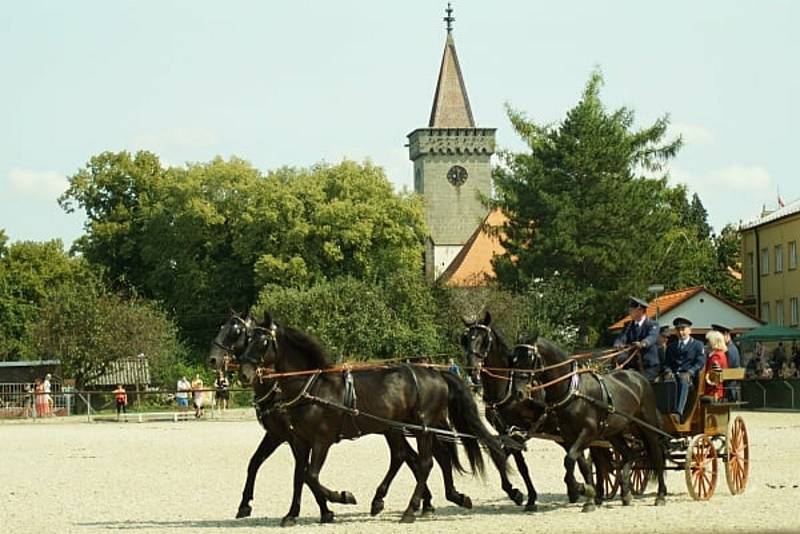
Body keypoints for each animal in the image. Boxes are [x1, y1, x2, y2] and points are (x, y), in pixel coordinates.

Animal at [238, 316, 510, 524]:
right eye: (247, 340)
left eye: (263, 342)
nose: (244, 373)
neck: (313, 386)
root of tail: (436, 372)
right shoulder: (300, 440)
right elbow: (300, 475)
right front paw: (294, 514)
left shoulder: (321, 441)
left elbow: (310, 476)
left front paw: (342, 497)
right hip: (399, 427)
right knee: (411, 456)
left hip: (422, 428)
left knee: (425, 463)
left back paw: (411, 509)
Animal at [510, 338, 664, 512]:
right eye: (513, 359)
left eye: (529, 358)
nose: (518, 393)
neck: (574, 391)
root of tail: (639, 377)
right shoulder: (569, 436)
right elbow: (581, 465)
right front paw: (588, 495)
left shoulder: (588, 432)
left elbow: (570, 459)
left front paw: (579, 489)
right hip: (614, 432)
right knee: (629, 454)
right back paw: (626, 493)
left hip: (647, 426)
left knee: (657, 456)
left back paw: (660, 496)